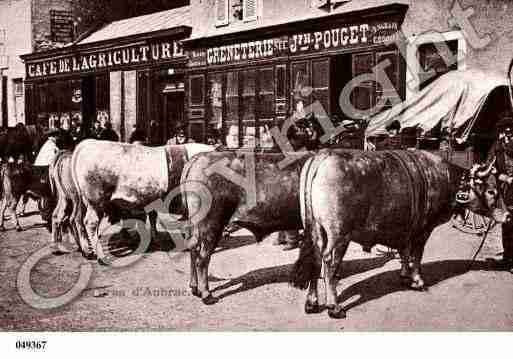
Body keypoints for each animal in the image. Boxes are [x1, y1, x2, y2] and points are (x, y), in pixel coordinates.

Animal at [71, 140, 213, 262]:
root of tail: (87, 143)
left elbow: (153, 218)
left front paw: (155, 239)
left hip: (83, 201)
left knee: (77, 220)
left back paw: (86, 251)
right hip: (96, 200)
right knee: (90, 223)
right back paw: (100, 256)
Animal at [290, 150, 510, 320]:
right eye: (491, 191)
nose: (508, 215)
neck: (440, 178)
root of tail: (322, 156)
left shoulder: (405, 229)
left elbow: (404, 252)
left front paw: (404, 276)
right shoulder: (423, 230)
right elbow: (417, 256)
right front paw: (417, 281)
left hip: (316, 230)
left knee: (314, 259)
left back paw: (311, 303)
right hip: (339, 235)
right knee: (328, 264)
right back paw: (334, 307)